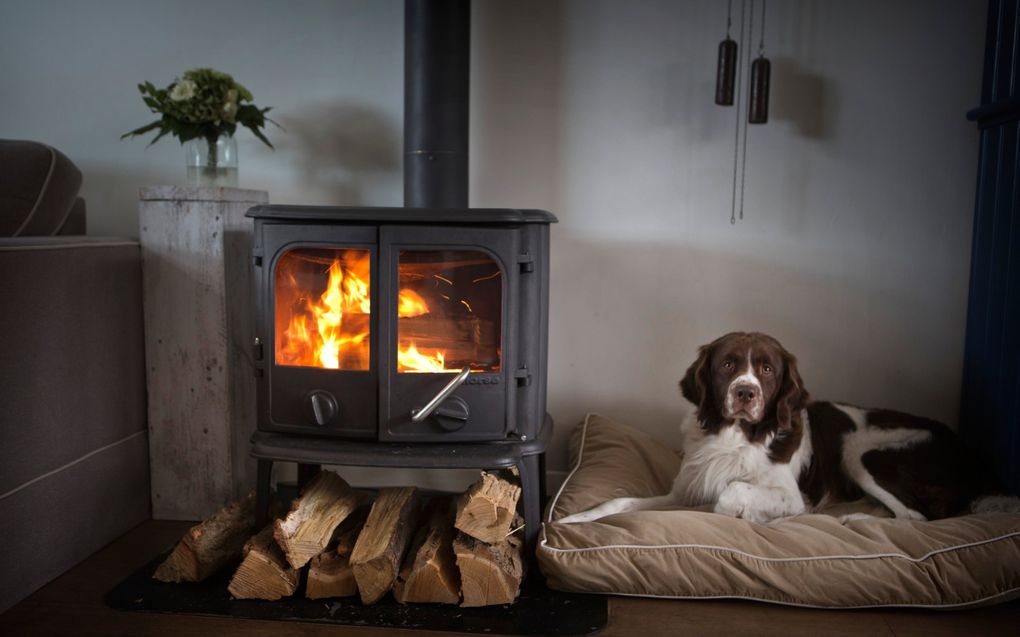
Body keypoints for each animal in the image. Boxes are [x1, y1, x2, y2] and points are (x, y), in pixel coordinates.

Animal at [558, 330, 1020, 525]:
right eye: (728, 365)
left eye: (766, 369)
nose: (746, 393)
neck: (737, 436)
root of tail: (975, 457)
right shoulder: (683, 490)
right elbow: (621, 502)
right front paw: (576, 520)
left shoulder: (791, 497)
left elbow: (731, 492)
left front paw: (740, 512)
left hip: (861, 452)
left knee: (917, 516)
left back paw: (857, 520)